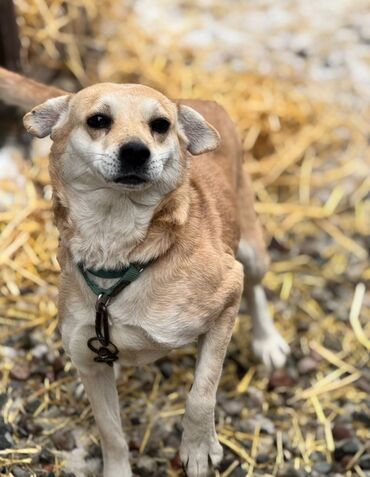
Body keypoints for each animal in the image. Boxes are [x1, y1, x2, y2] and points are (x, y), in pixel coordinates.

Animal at [0, 67, 290, 476]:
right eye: (98, 120)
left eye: (160, 125)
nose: (137, 151)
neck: (118, 248)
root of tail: (196, 100)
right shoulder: (90, 358)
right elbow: (111, 432)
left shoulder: (226, 294)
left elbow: (201, 393)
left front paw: (198, 448)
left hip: (250, 250)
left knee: (256, 288)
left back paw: (267, 341)